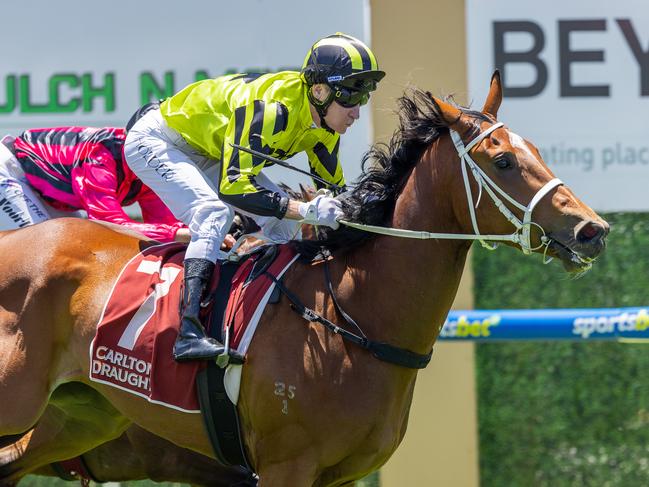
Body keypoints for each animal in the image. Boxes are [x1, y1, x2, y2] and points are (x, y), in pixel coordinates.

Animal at [0, 70, 608, 486]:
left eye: (535, 151)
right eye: (502, 161)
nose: (592, 230)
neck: (352, 315)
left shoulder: (341, 475)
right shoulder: (285, 467)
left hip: (80, 416)